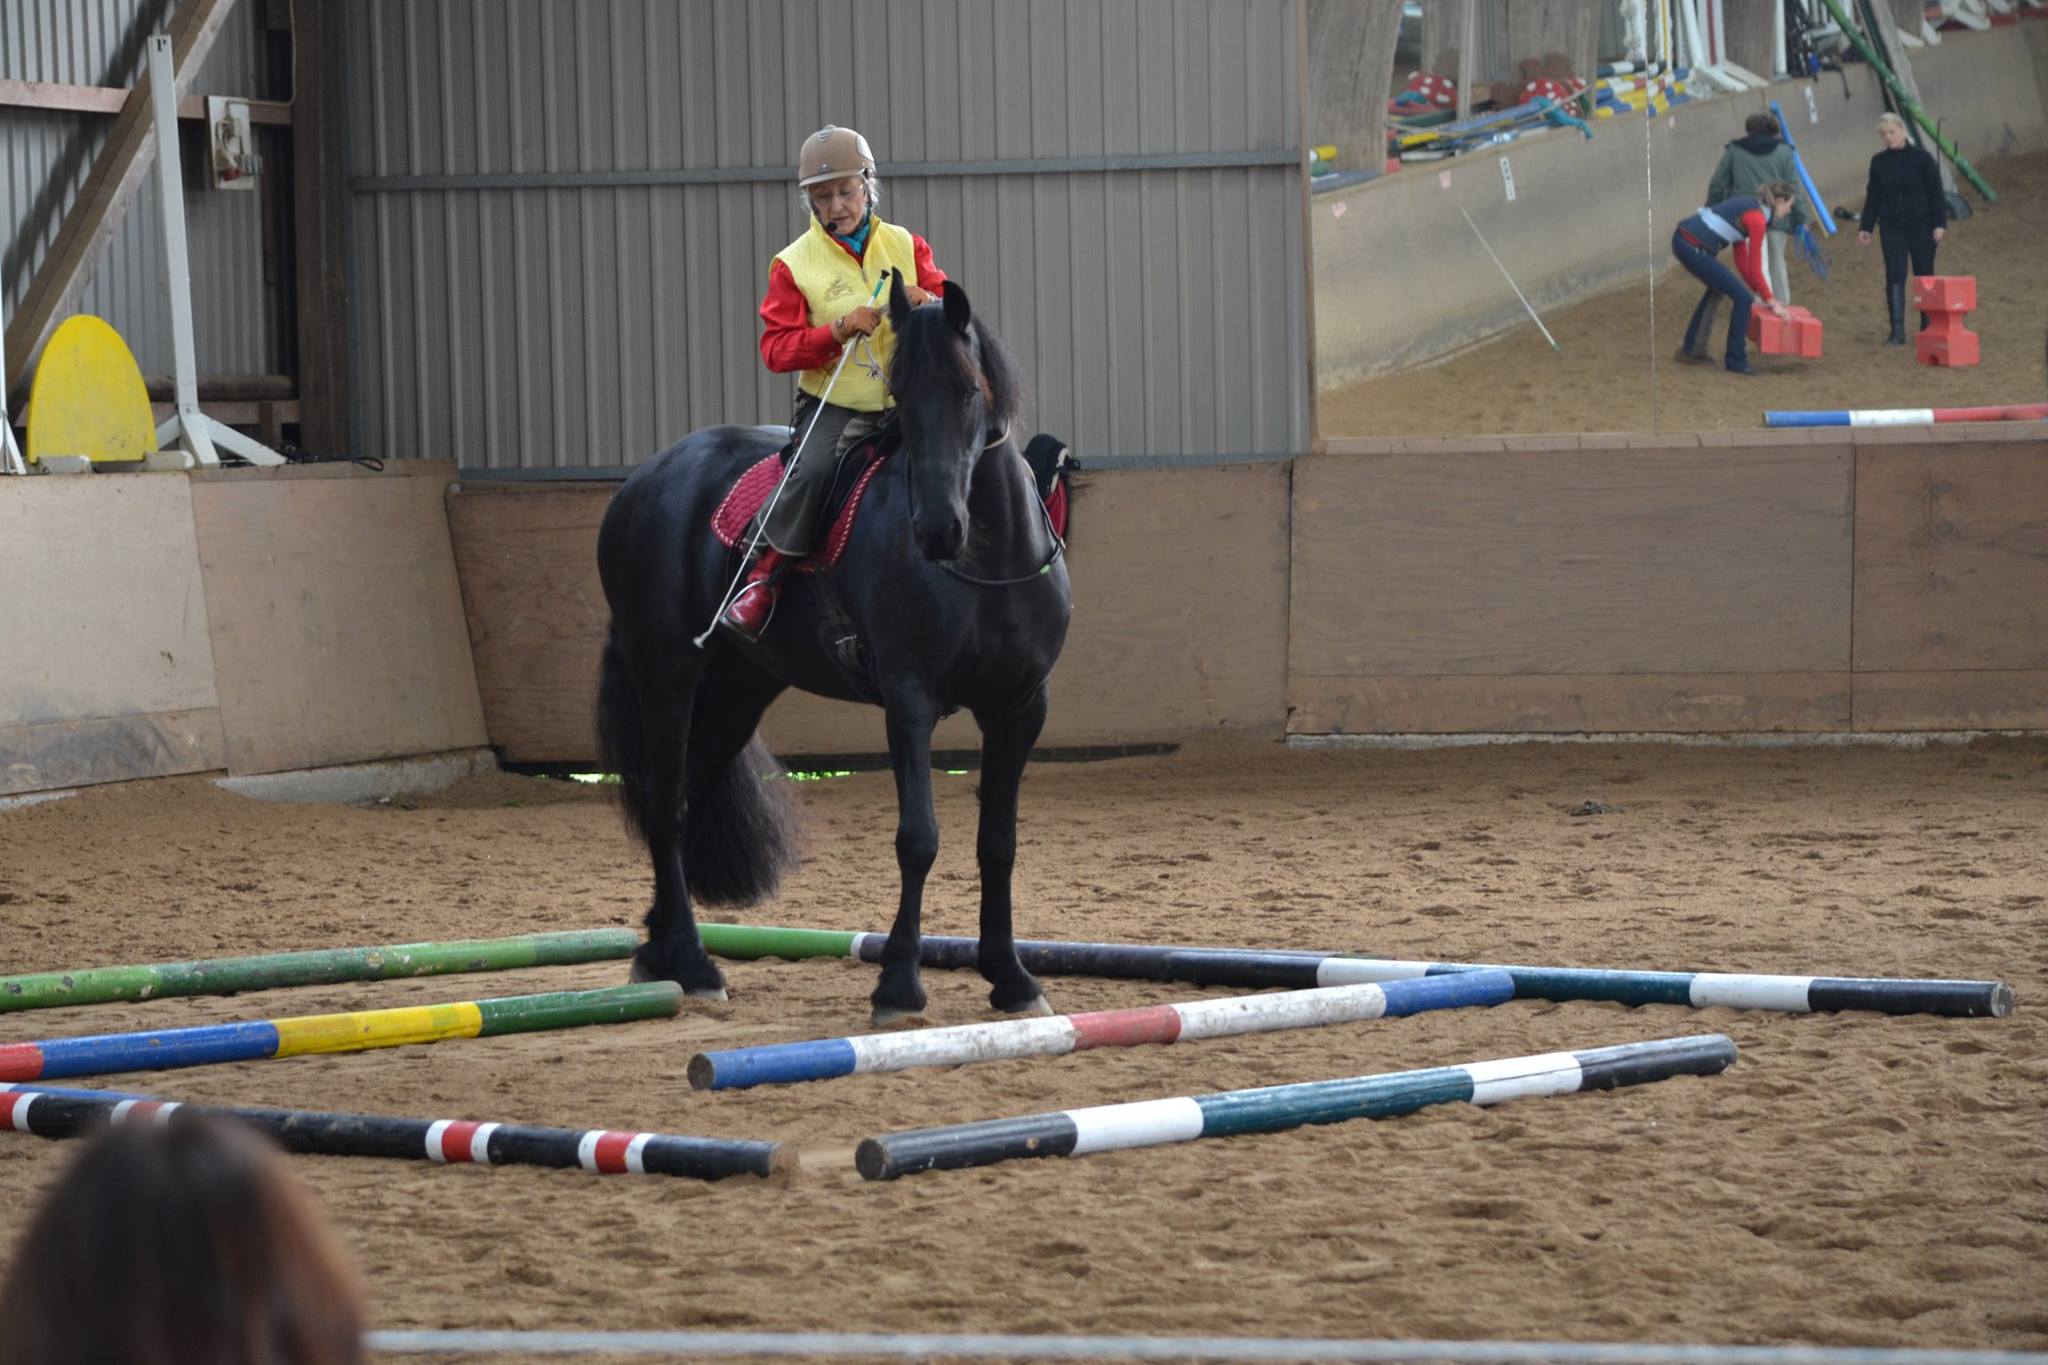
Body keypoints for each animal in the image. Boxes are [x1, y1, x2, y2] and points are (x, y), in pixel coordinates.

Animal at [593, 274, 1073, 1023]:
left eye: (968, 390)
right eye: (901, 394)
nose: (937, 528)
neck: (986, 561)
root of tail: (643, 483)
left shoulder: (1020, 708)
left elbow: (998, 842)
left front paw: (1012, 978)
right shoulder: (910, 702)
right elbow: (918, 839)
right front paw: (899, 985)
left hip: (737, 692)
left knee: (684, 796)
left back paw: (657, 948)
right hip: (667, 673)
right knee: (664, 806)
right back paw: (695, 964)